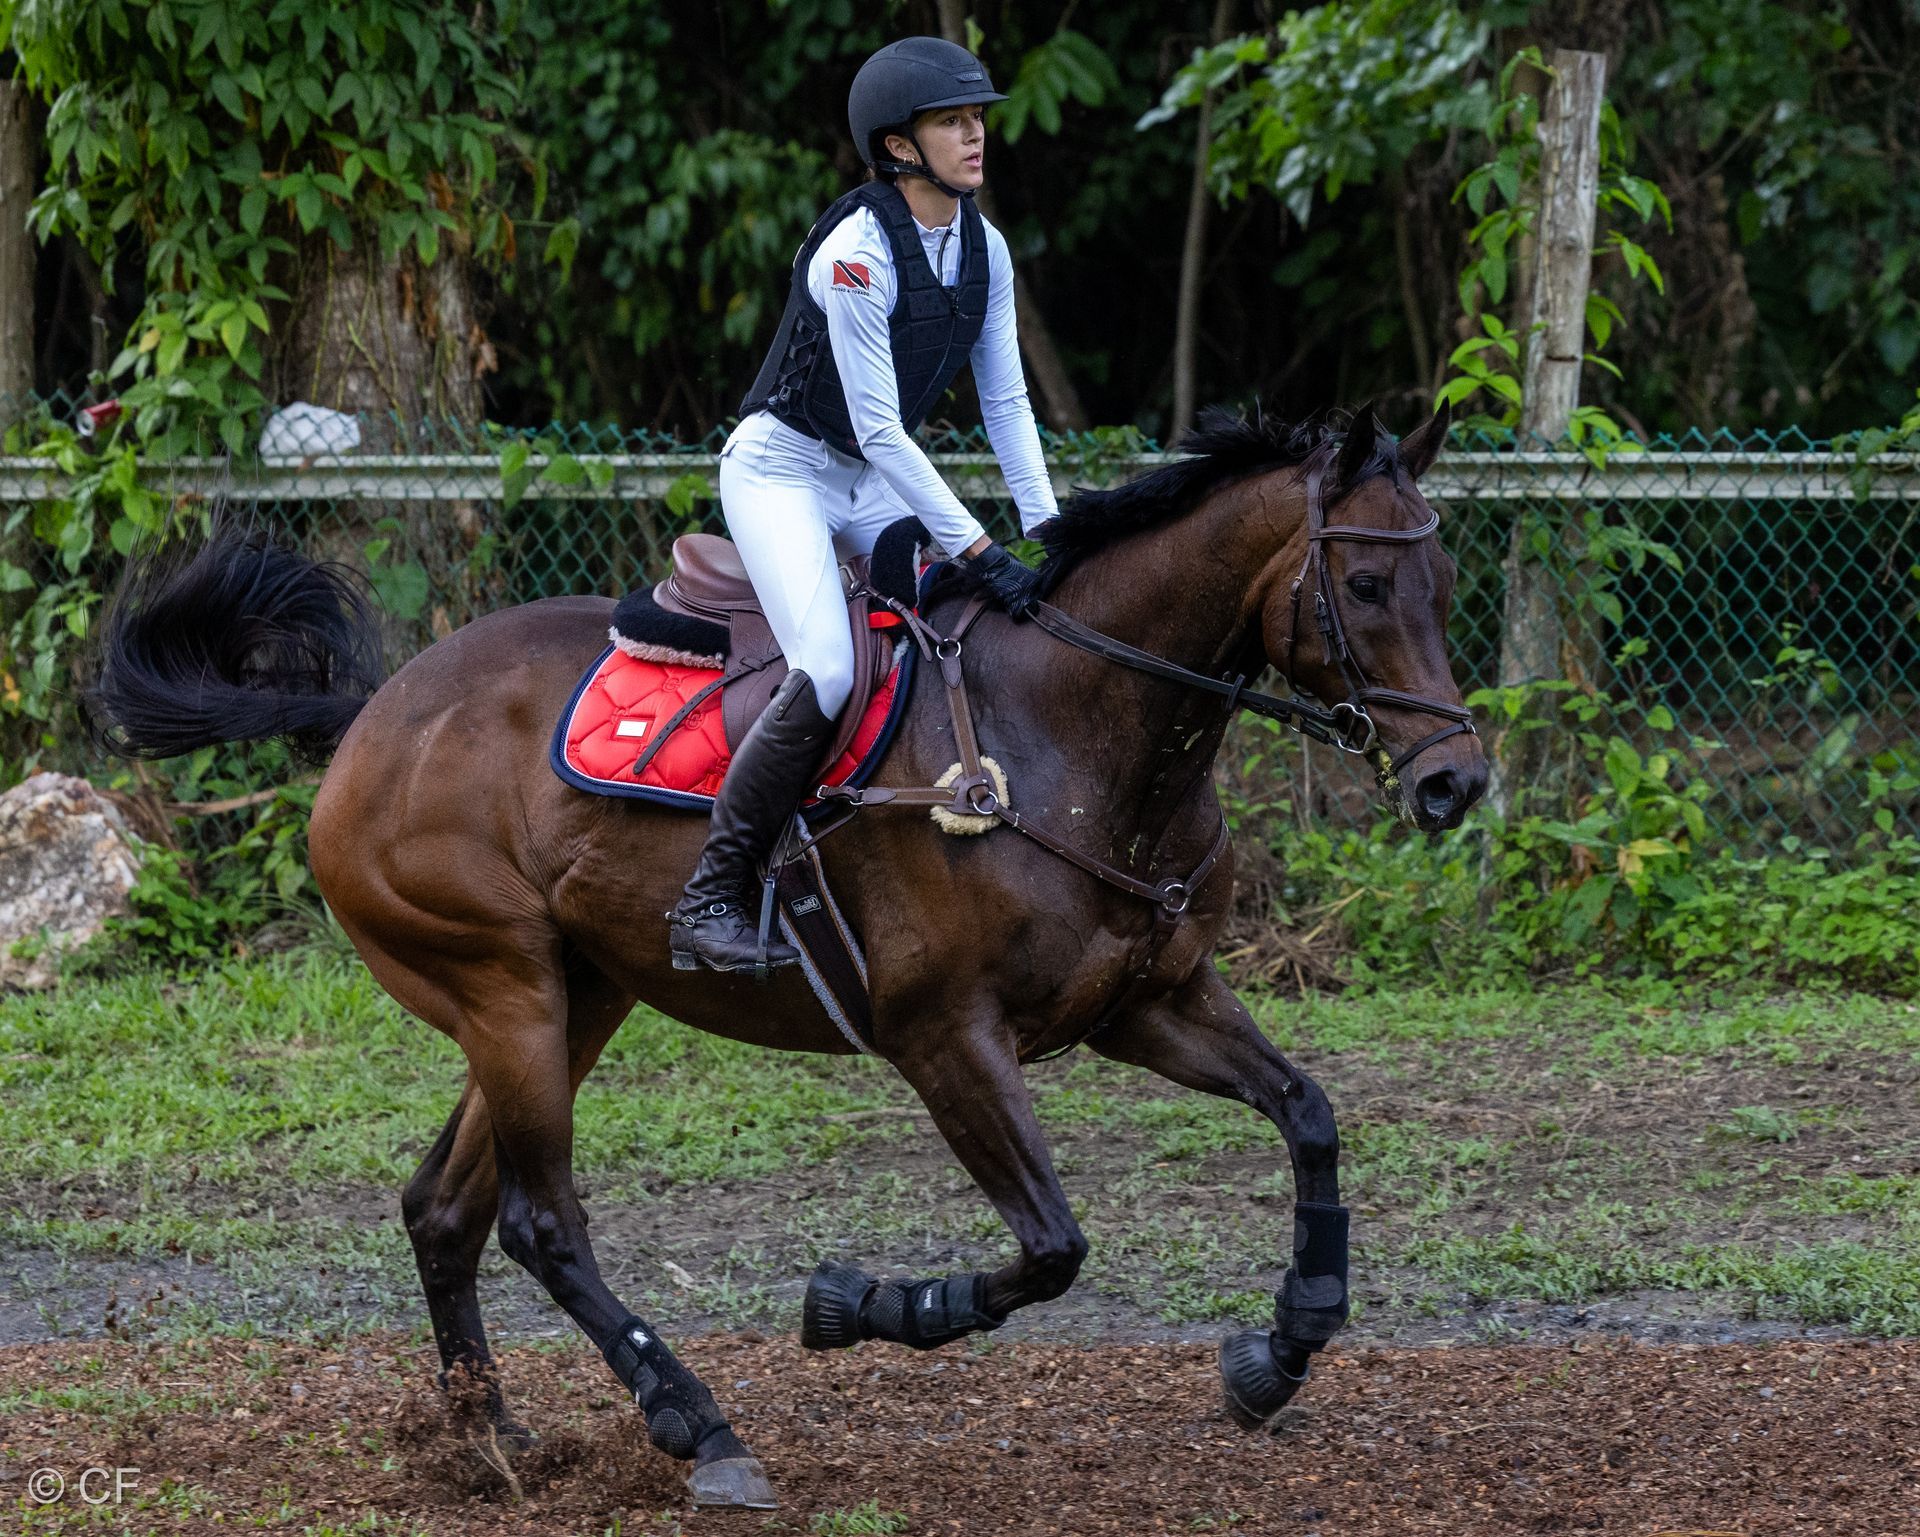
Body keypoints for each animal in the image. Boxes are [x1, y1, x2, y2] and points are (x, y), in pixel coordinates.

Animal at [90, 404, 1487, 1510]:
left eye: (1441, 585)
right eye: (1367, 590)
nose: (1453, 783)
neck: (1076, 734)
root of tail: (370, 717)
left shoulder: (1149, 1001)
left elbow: (1309, 1113)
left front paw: (1282, 1347)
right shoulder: (945, 1038)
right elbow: (1051, 1246)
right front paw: (864, 1305)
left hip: (575, 996)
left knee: (444, 1205)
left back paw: (489, 1443)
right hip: (505, 989)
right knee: (539, 1219)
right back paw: (696, 1427)